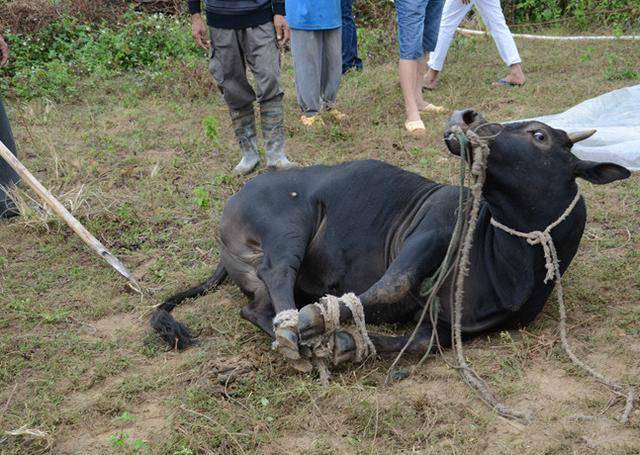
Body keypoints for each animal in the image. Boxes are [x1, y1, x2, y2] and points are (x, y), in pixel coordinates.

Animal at [152, 108, 632, 366]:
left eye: (539, 135)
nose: (468, 117)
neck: (510, 264)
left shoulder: (450, 326)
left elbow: (419, 342)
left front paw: (346, 343)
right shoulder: (433, 226)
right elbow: (392, 285)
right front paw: (321, 322)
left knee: (254, 307)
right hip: (289, 223)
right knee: (277, 274)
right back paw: (294, 326)